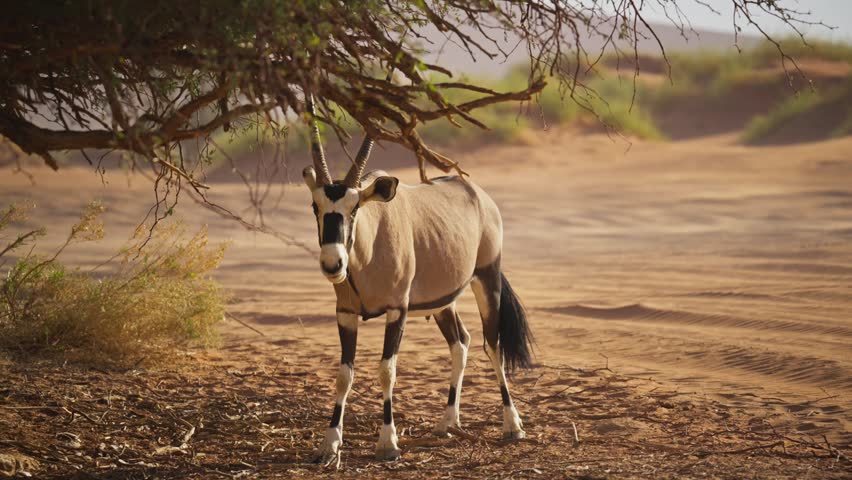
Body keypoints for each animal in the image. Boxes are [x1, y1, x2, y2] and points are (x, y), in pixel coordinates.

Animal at [302, 94, 533, 463]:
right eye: (316, 206)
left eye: (354, 209)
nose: (332, 263)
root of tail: (477, 193)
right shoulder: (346, 313)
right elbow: (343, 374)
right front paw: (330, 443)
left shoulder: (397, 309)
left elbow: (387, 369)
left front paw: (388, 443)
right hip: (443, 302)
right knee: (461, 342)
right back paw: (447, 422)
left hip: (487, 280)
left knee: (492, 344)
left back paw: (512, 425)